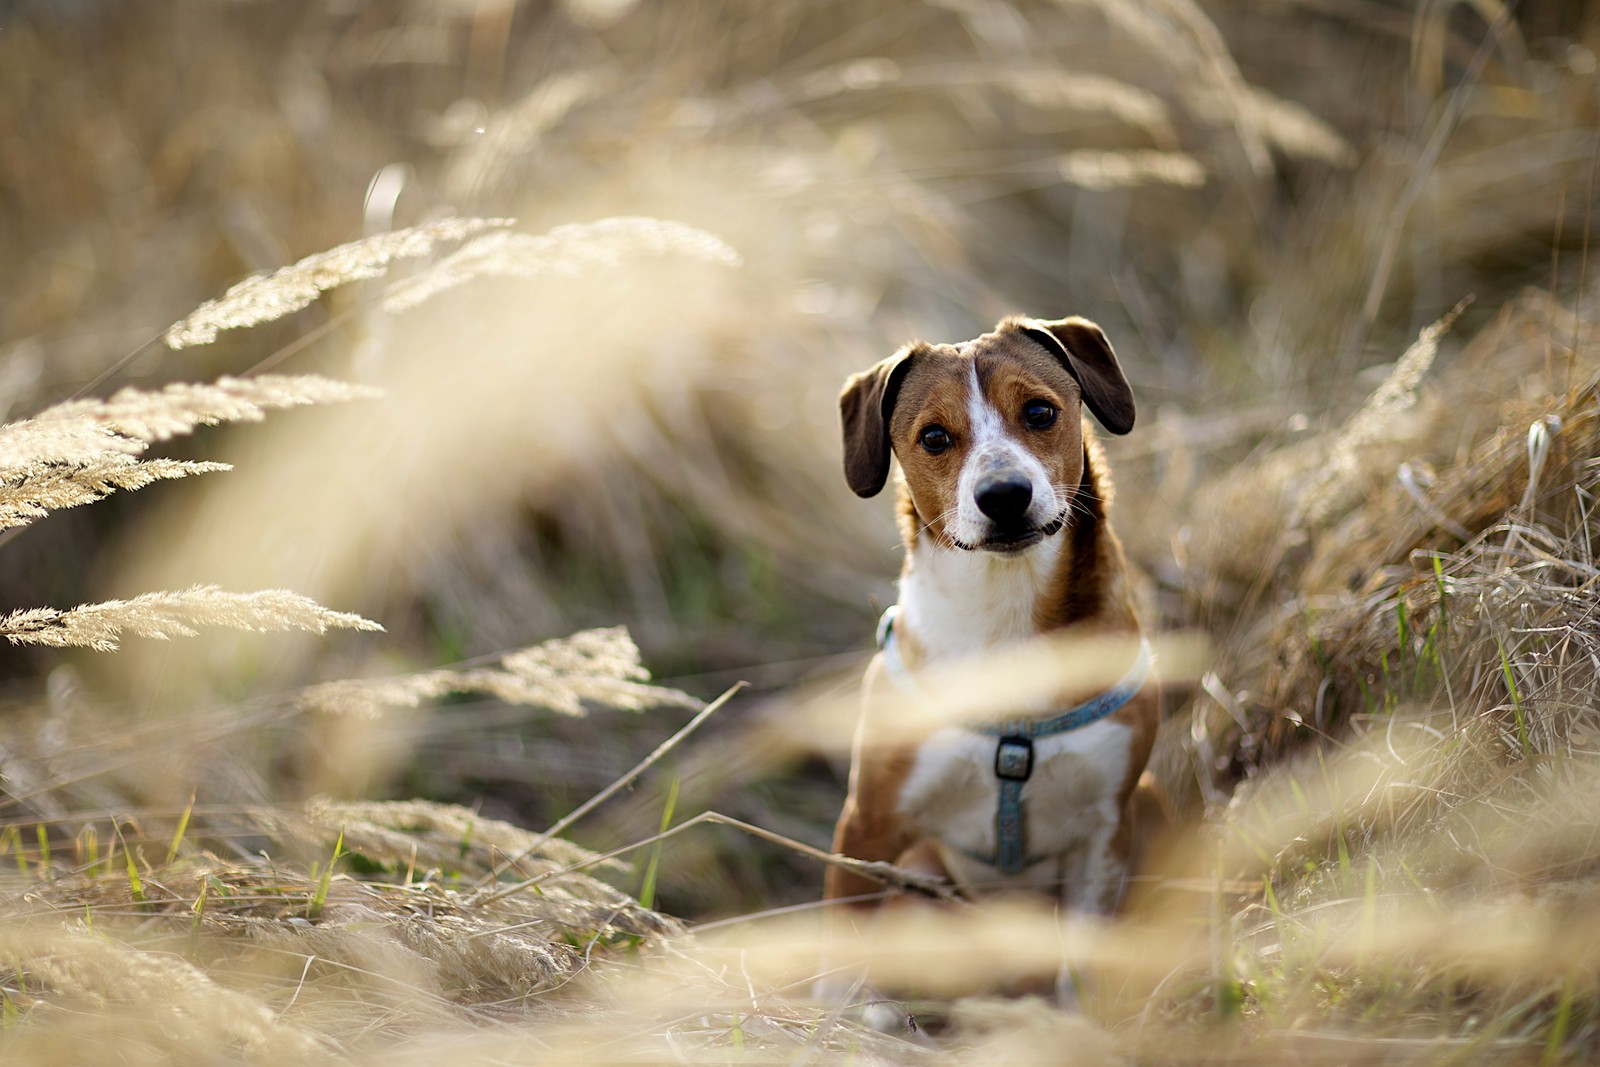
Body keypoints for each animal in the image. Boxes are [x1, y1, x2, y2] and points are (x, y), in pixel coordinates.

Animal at [832, 315, 1158, 1011]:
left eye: (1039, 411)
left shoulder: (1105, 836)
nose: (1004, 494)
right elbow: (836, 966)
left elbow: (1082, 970)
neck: (1006, 613)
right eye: (934, 436)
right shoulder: (867, 828)